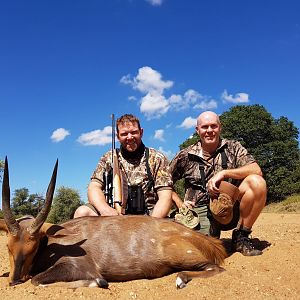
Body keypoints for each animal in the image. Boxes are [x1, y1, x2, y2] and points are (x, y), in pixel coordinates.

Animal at [0, 158, 225, 290]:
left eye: (34, 246)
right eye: (8, 246)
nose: (15, 280)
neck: (54, 244)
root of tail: (208, 242)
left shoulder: (79, 267)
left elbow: (37, 280)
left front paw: (98, 282)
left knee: (216, 268)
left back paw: (181, 279)